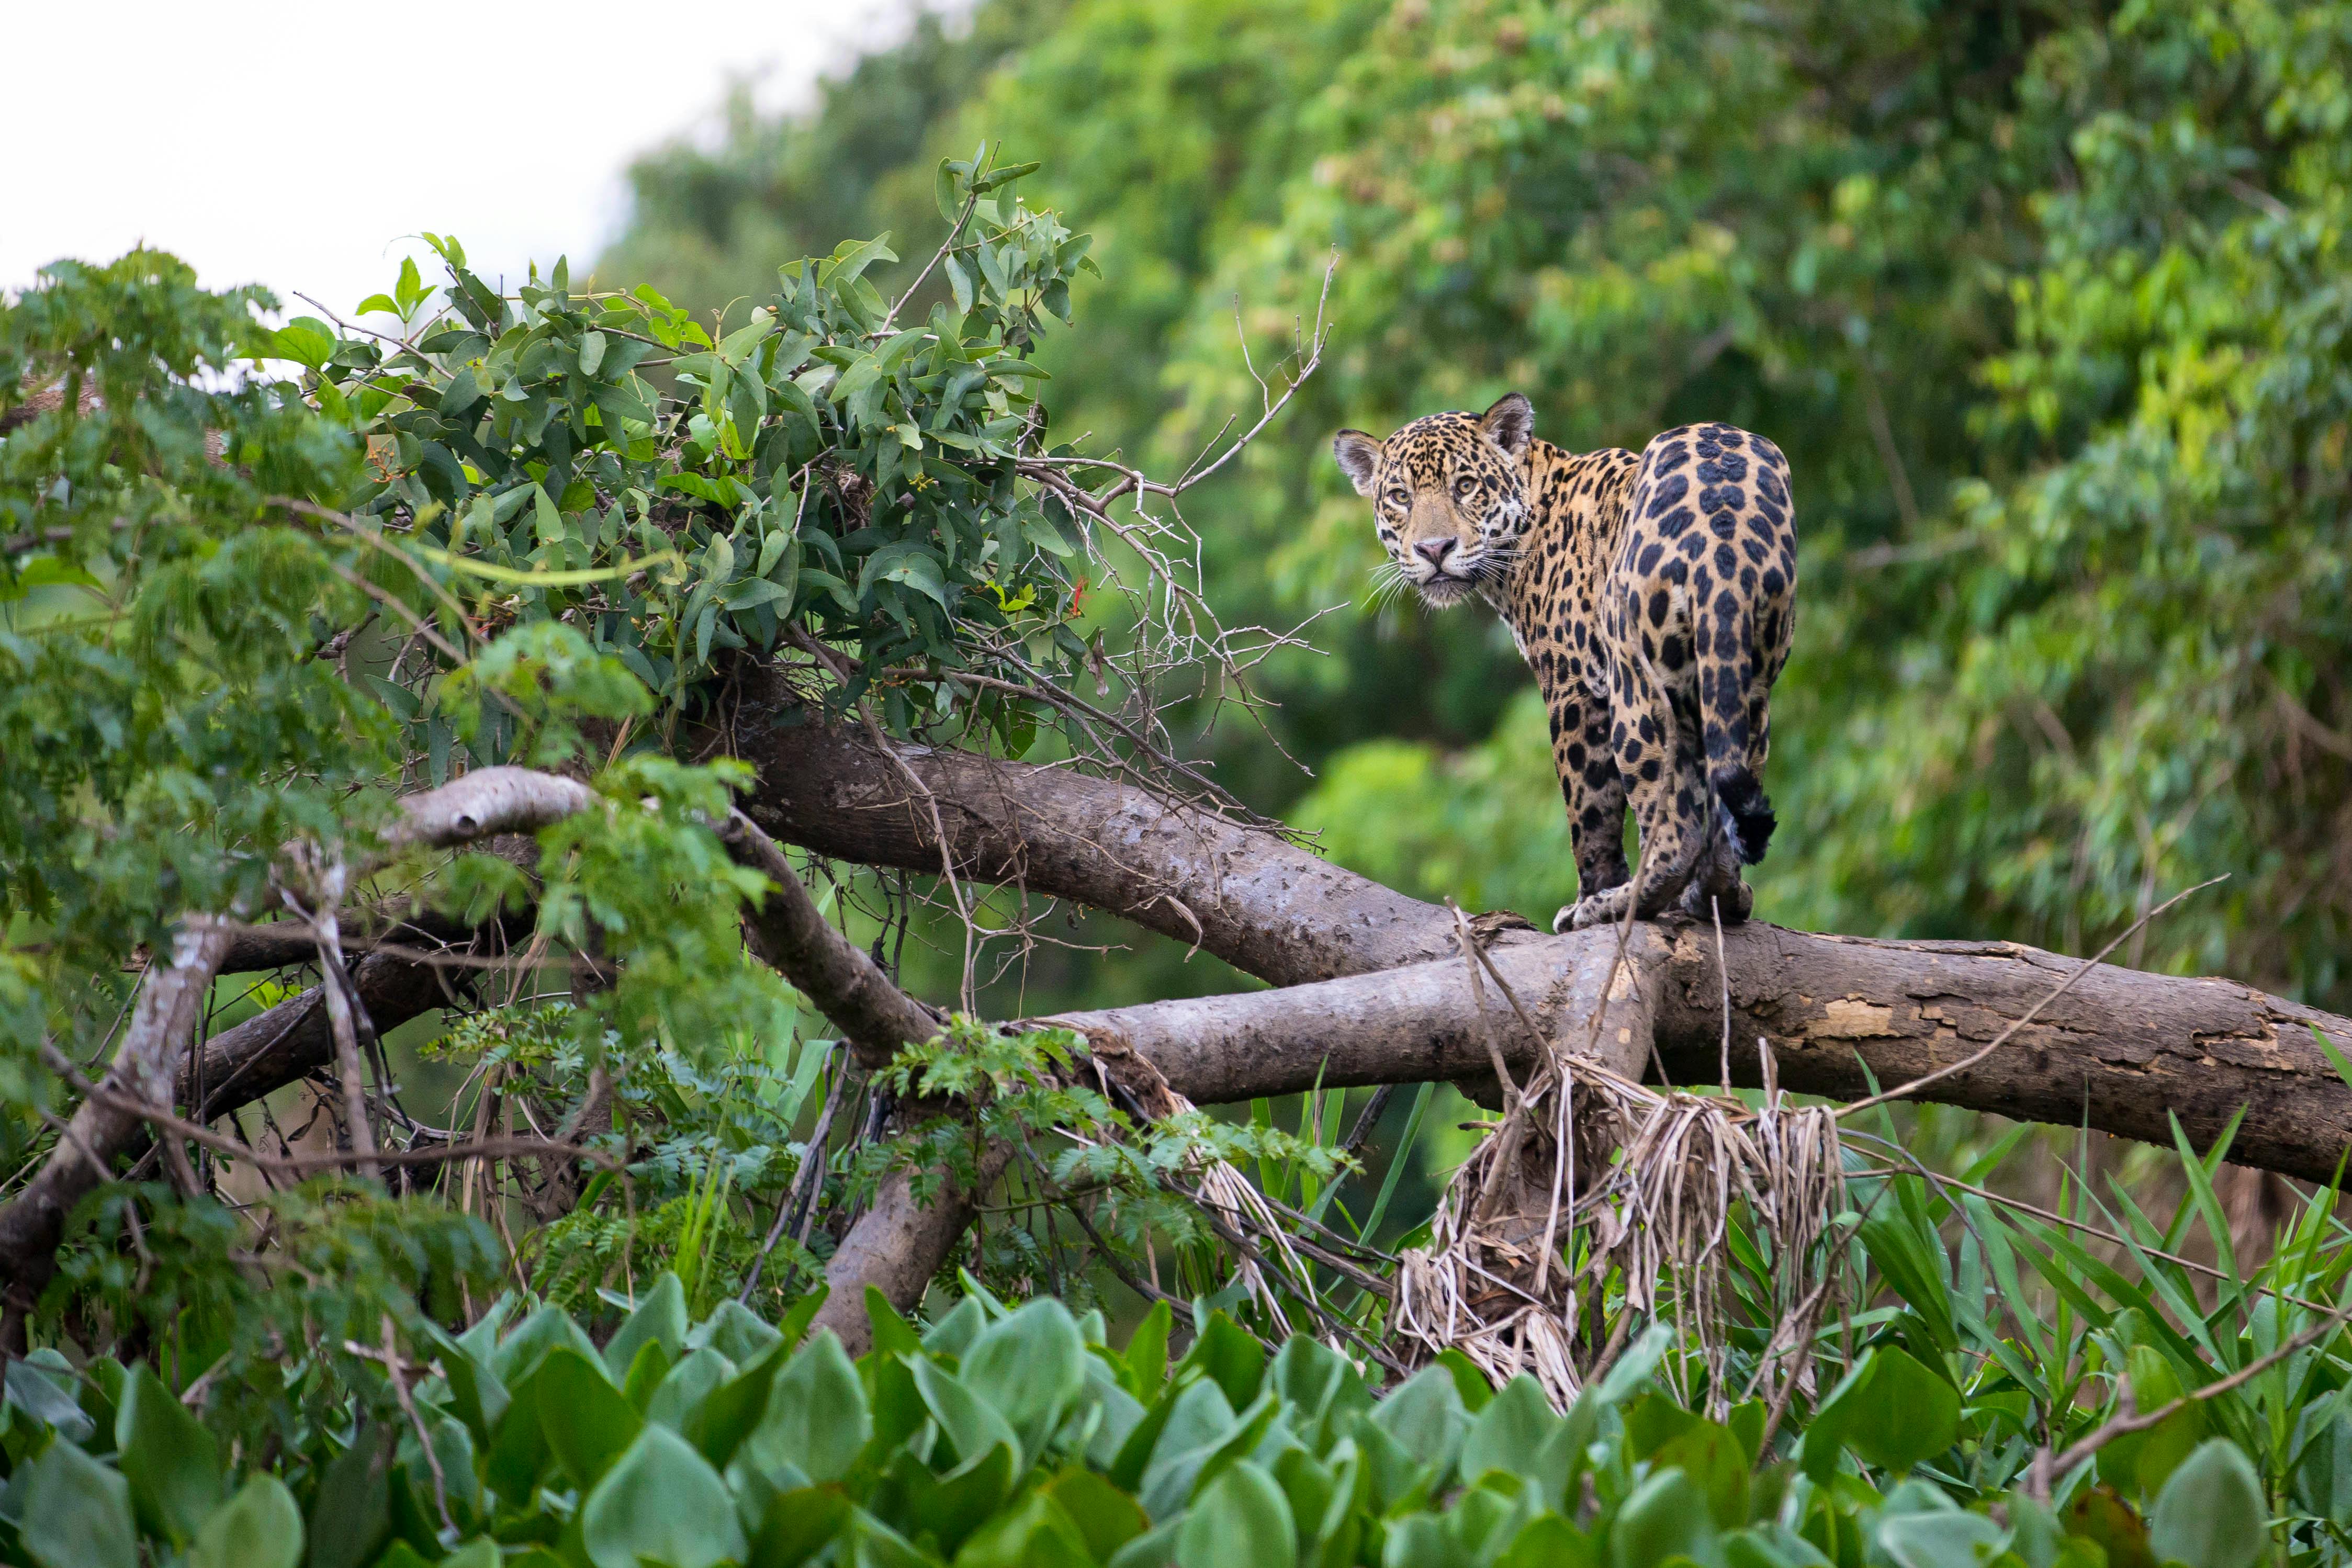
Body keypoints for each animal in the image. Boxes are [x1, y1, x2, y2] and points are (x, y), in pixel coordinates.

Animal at [1333, 392, 1797, 933]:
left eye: (1465, 486)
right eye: (1400, 496)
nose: (1433, 549)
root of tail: (1724, 527)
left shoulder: (1573, 689)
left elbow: (1589, 813)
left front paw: (1587, 896)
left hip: (1635, 687)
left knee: (1674, 829)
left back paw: (1616, 904)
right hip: (1746, 681)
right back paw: (1718, 894)